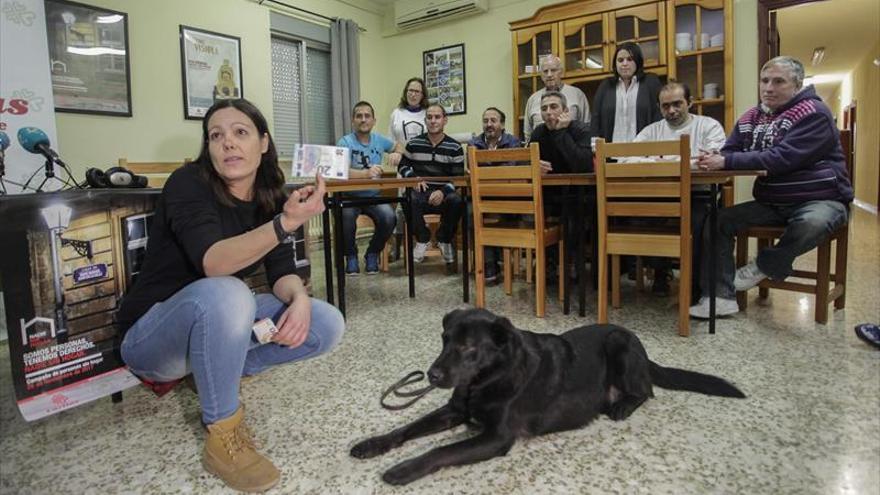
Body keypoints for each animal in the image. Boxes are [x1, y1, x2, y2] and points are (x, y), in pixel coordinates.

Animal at [350, 308, 744, 486]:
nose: (431, 375)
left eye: (468, 348)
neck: (487, 379)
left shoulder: (496, 438)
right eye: (444, 340)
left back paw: (621, 405)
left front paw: (404, 468)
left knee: (645, 391)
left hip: (619, 343)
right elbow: (405, 429)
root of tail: (643, 350)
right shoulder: (454, 411)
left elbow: (439, 451)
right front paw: (373, 444)